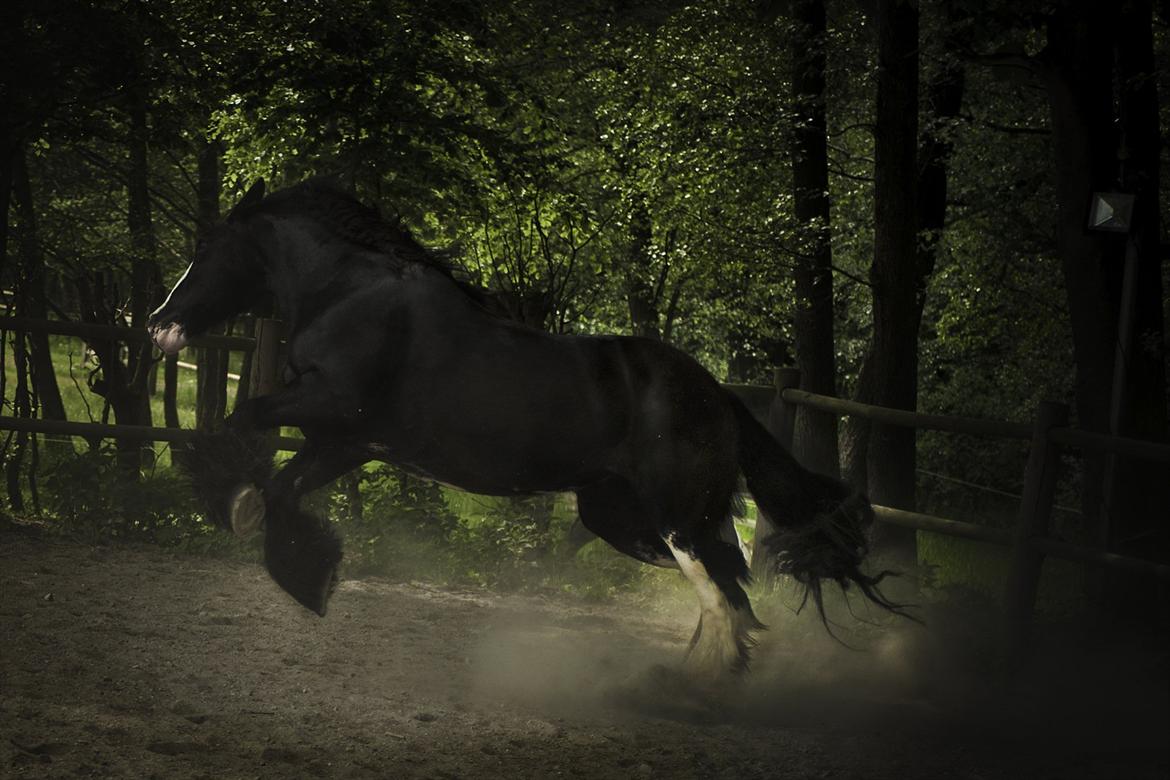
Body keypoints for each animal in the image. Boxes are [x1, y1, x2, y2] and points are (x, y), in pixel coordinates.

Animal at [143, 180, 893, 678]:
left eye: (209, 245)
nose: (157, 323)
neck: (350, 293)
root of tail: (717, 395)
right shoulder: (349, 439)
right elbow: (283, 486)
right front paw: (297, 560)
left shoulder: (328, 404)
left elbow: (243, 420)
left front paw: (258, 527)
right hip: (619, 518)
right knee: (731, 590)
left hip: (677, 518)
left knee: (726, 595)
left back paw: (698, 685)